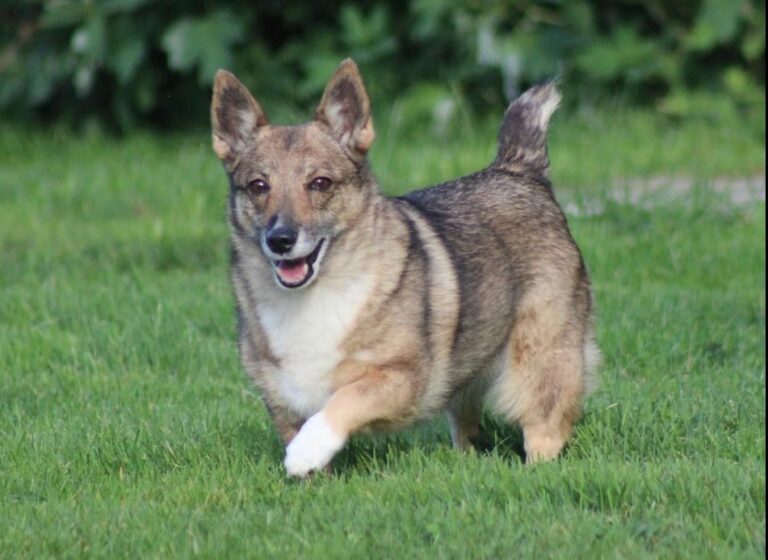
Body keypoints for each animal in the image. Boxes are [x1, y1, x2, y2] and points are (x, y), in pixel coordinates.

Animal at [210, 58, 600, 476]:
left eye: (320, 183)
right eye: (257, 186)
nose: (280, 239)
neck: (313, 297)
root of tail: (518, 170)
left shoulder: (402, 378)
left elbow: (344, 400)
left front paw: (305, 451)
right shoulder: (282, 401)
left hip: (540, 361)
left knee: (545, 429)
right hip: (465, 377)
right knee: (467, 427)